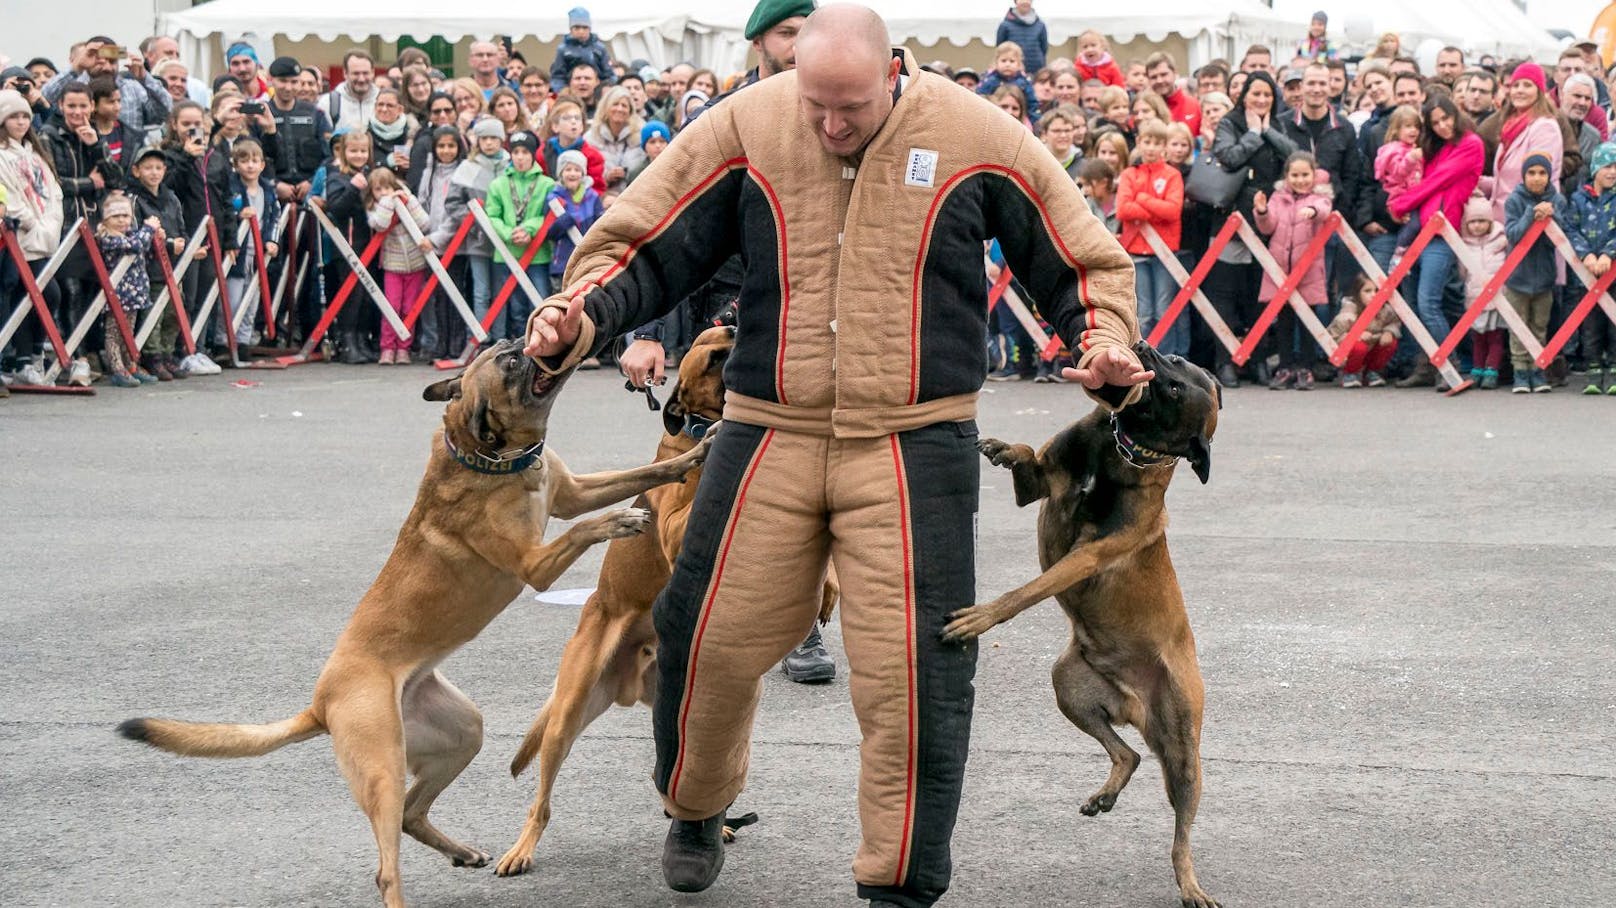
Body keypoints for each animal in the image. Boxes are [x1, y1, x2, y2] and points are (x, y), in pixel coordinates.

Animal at [117, 339, 711, 904]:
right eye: (510, 363)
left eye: (506, 349)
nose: (524, 338)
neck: (486, 457)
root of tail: (320, 704)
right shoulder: (536, 564)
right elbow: (587, 526)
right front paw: (621, 519)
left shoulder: (572, 491)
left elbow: (639, 473)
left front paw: (694, 454)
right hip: (382, 765)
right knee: (386, 866)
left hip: (461, 733)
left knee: (410, 813)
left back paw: (460, 851)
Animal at [943, 339, 1215, 904]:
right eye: (1176, 361)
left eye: (1175, 387)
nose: (1142, 346)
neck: (1125, 448)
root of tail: (1137, 703)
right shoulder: (1041, 486)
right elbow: (1031, 457)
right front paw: (1004, 448)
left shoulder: (1085, 556)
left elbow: (1024, 593)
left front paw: (982, 617)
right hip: (1068, 685)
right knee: (1128, 756)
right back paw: (1105, 795)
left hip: (1184, 752)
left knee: (1181, 832)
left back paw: (1190, 883)